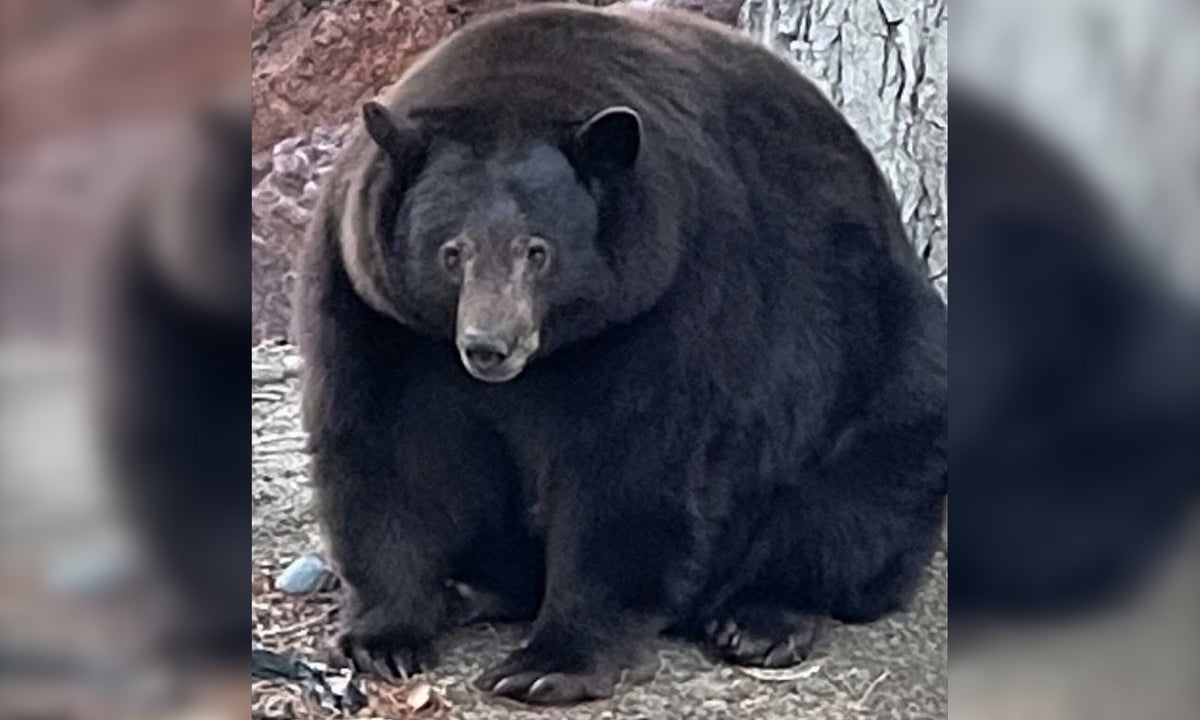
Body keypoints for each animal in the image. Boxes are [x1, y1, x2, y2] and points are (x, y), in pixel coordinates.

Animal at [297, 3, 946, 705]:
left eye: (538, 250)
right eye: (453, 251)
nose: (489, 346)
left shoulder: (670, 294)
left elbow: (632, 466)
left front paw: (548, 663)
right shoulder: (373, 305)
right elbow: (386, 446)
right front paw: (385, 637)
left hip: (880, 365)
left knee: (855, 498)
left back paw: (760, 619)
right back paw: (472, 588)